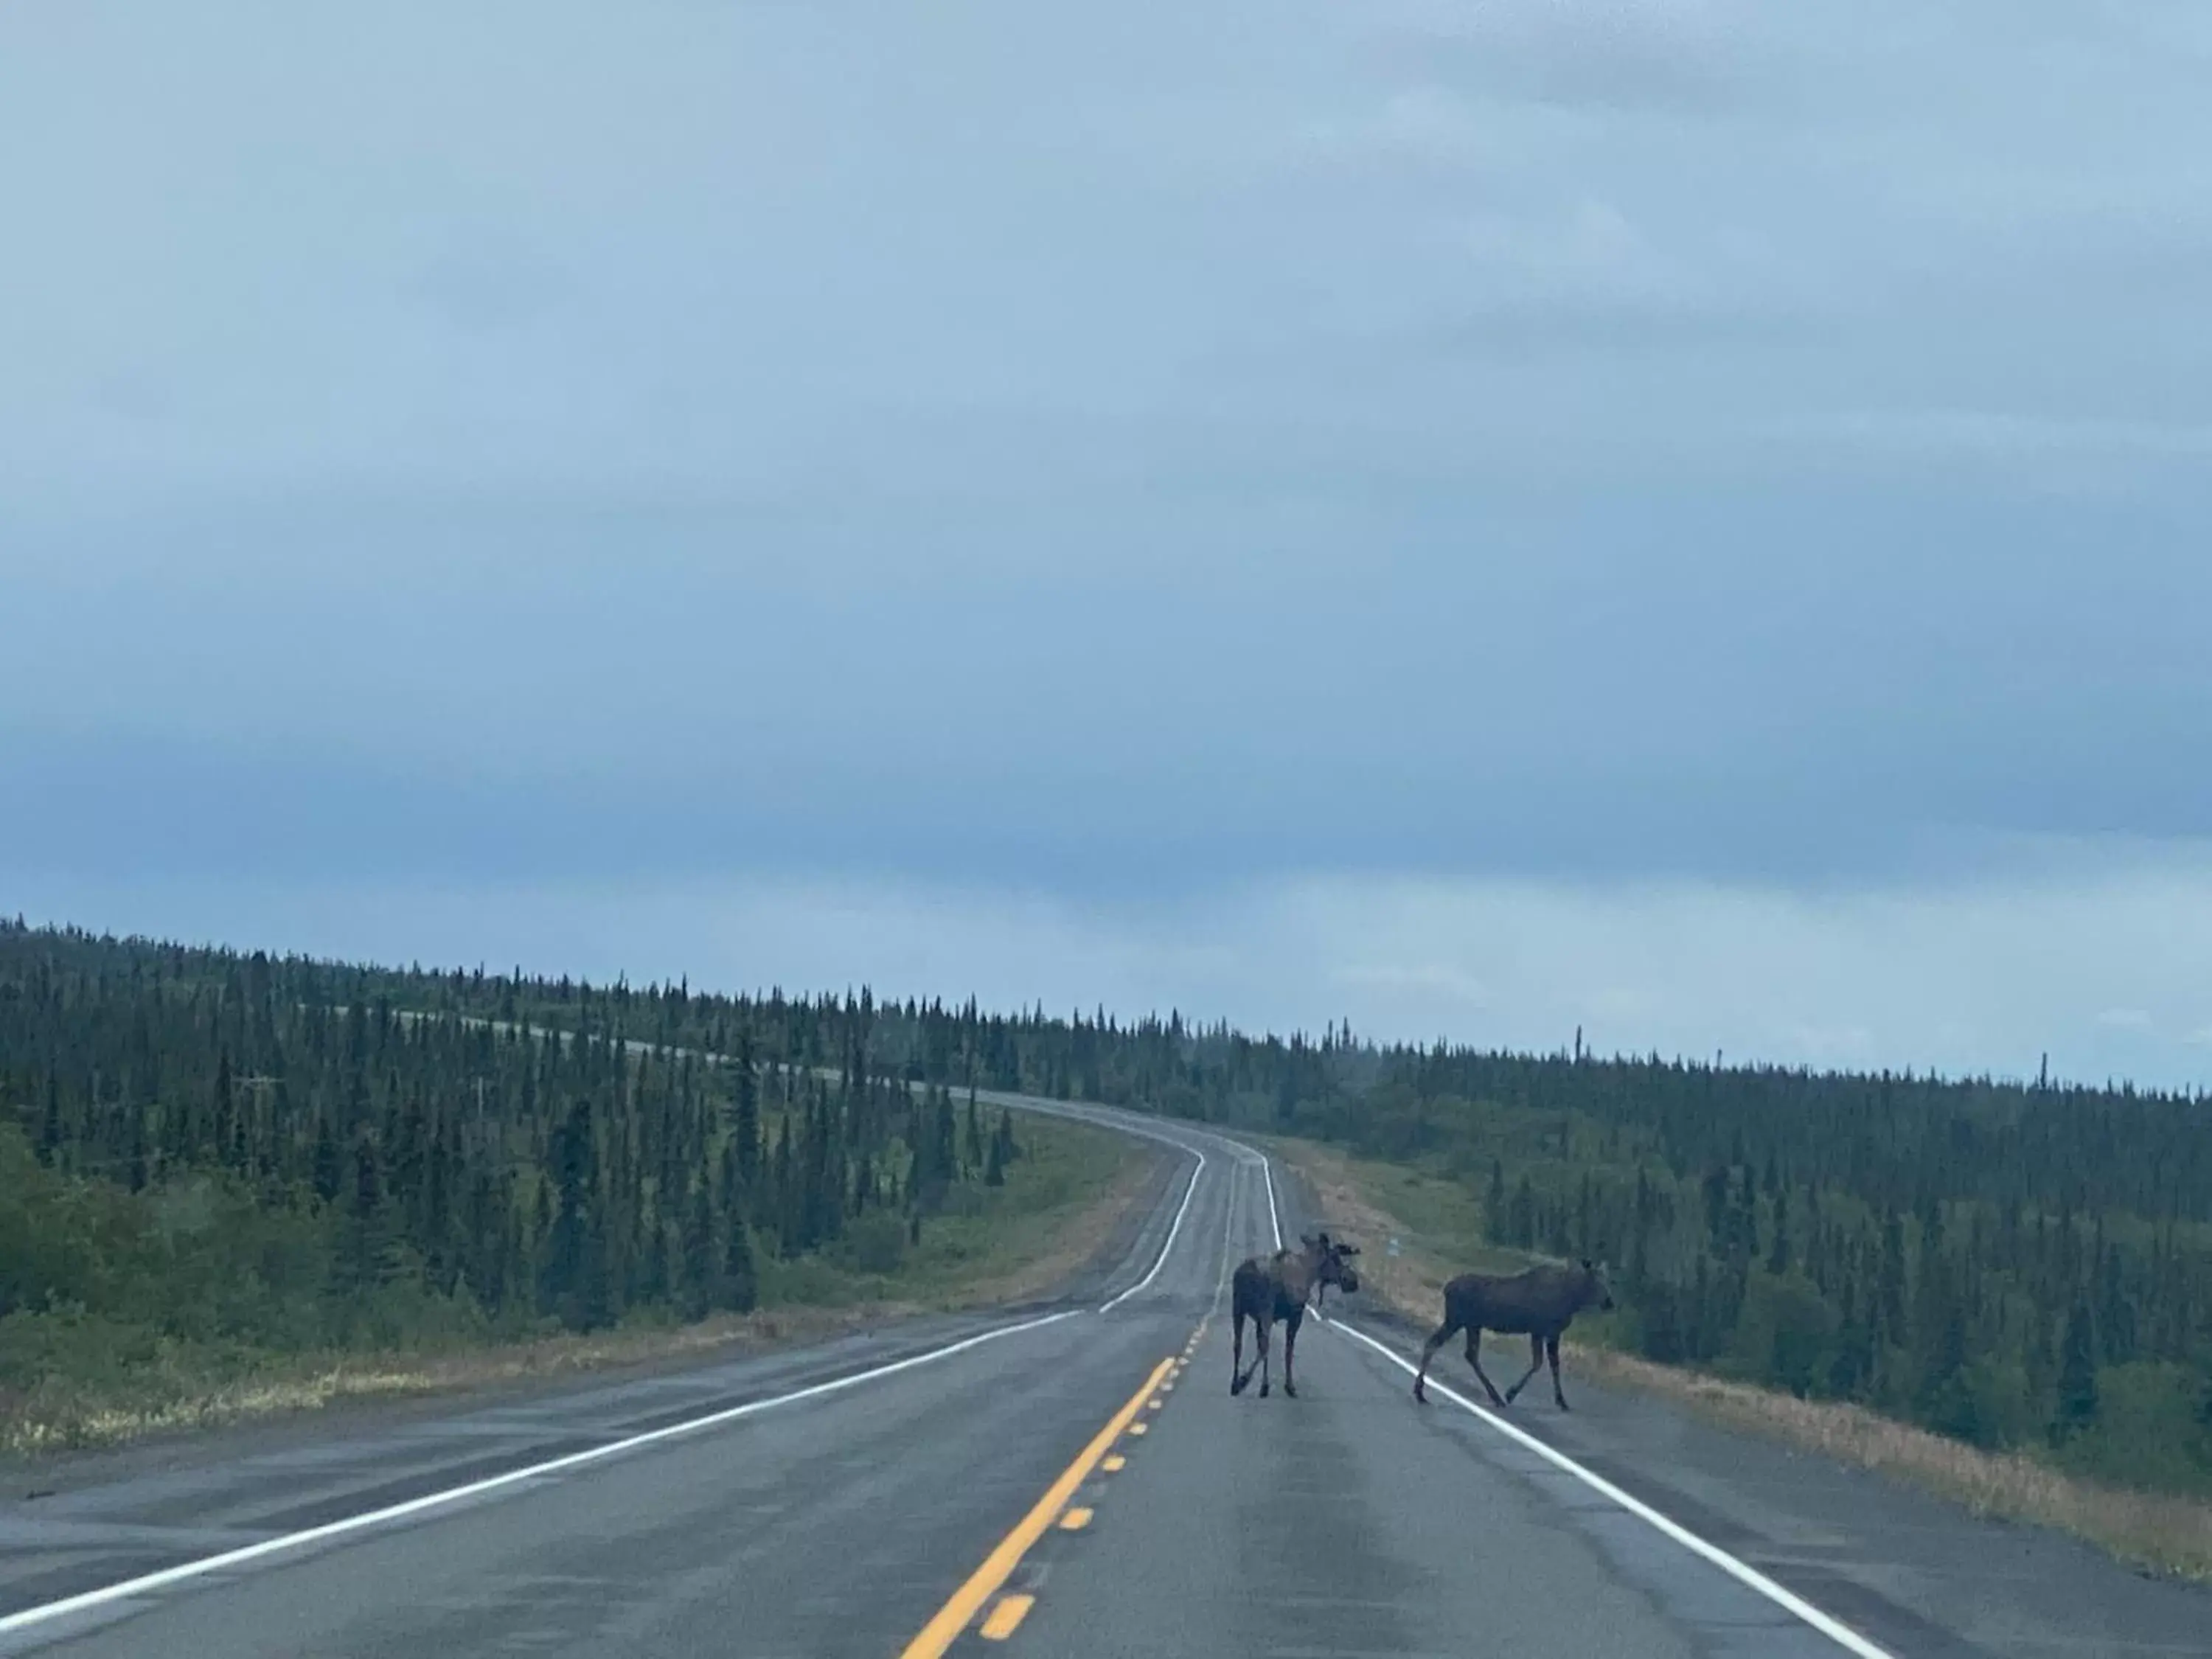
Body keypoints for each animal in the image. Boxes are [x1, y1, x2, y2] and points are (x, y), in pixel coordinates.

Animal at [1239, 1239, 1354, 1407]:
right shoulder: (1295, 1316)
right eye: (1335, 1258)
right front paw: (1289, 1386)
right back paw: (1247, 1382)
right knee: (1264, 1346)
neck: (1309, 1273)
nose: (1350, 1281)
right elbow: (1288, 1350)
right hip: (1266, 1312)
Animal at [1407, 1265, 1619, 1407]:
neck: (1573, 1299)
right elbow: (1542, 1364)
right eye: (1597, 1284)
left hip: (1469, 1324)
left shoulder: (1548, 1333)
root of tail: (1447, 1288)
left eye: (1608, 1282)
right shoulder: (1543, 1331)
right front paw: (1512, 1393)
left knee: (1461, 1351)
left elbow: (1550, 1364)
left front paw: (1560, 1400)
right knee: (1445, 1346)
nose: (1609, 1302)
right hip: (1458, 1320)